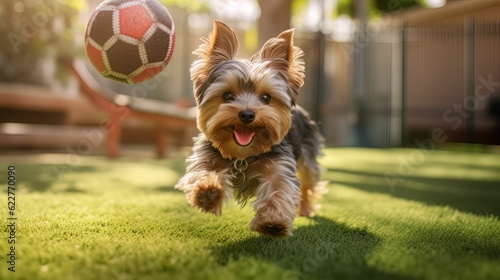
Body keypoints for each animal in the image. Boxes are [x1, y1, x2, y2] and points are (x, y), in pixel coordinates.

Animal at [177, 19, 328, 237]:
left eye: (266, 97)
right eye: (227, 96)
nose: (247, 115)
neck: (243, 156)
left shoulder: (279, 165)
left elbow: (279, 187)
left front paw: (273, 222)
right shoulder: (206, 156)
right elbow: (201, 172)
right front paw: (207, 191)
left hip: (308, 156)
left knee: (308, 182)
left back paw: (306, 208)